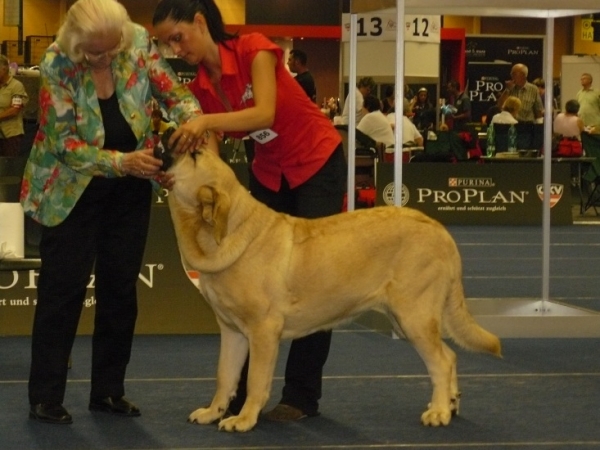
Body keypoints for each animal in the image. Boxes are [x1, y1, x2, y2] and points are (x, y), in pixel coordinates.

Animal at [164, 148, 502, 432]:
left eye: (193, 155)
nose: (169, 140)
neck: (225, 232)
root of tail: (438, 228)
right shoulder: (232, 331)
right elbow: (225, 376)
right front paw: (212, 412)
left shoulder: (263, 331)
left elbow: (256, 381)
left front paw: (244, 419)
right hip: (406, 319)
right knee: (450, 355)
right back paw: (449, 404)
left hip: (414, 316)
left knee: (441, 361)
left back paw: (439, 412)